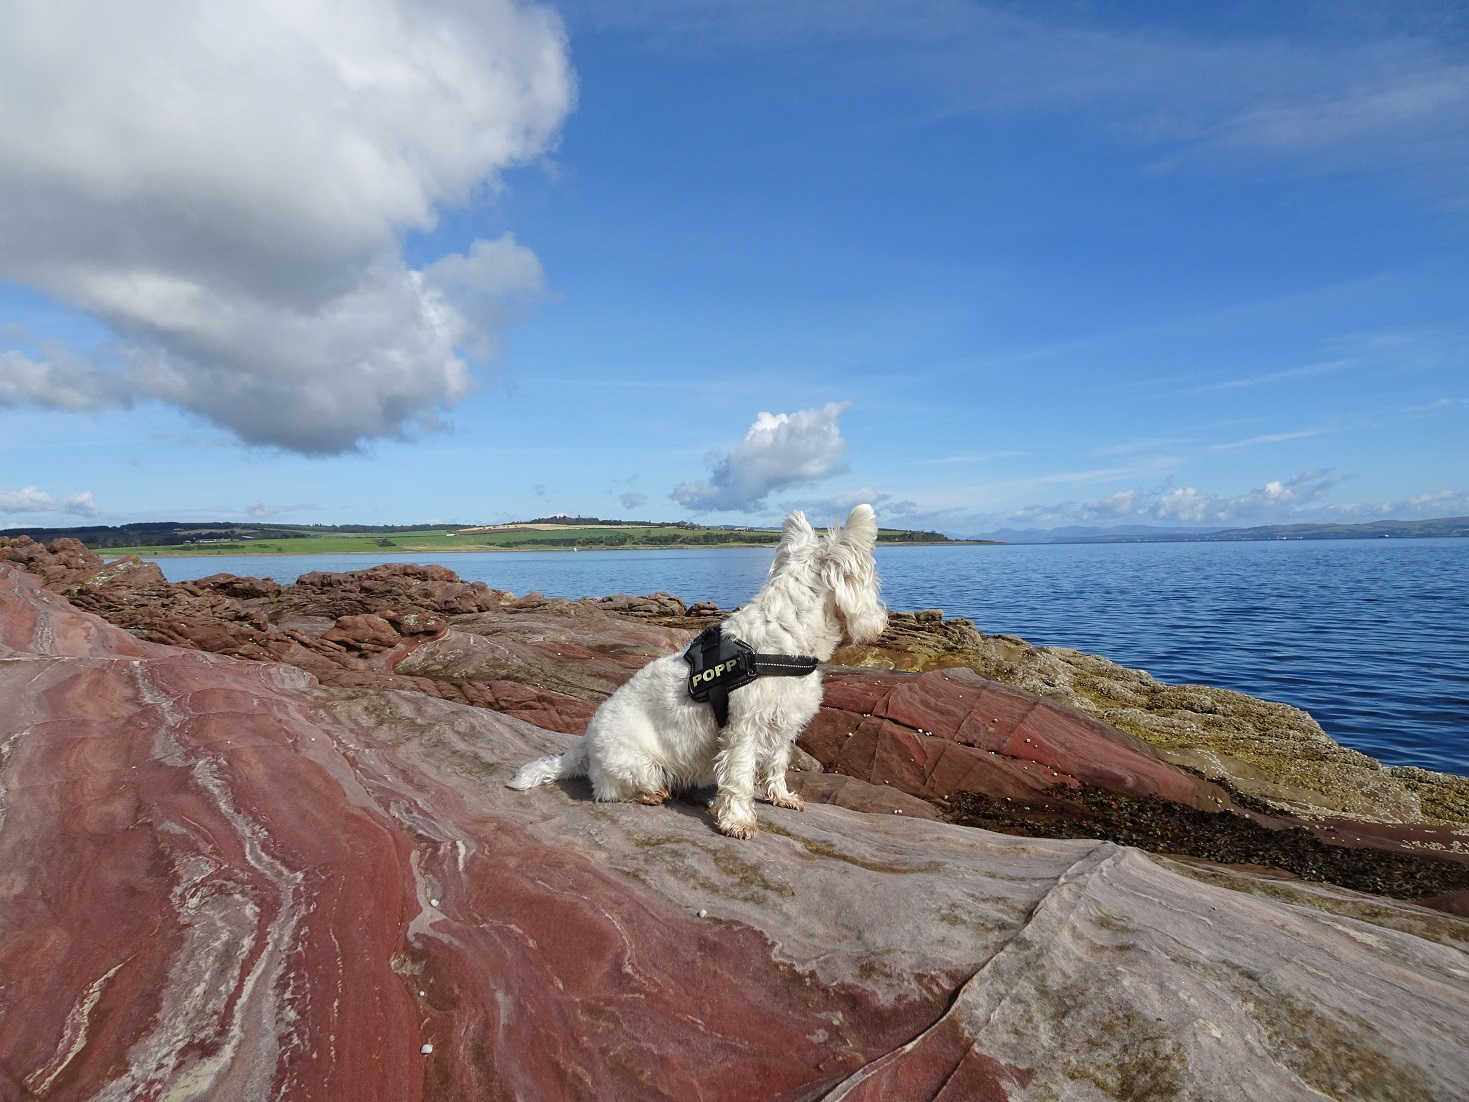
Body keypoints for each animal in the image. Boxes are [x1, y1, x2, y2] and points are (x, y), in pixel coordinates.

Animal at [511, 508, 887, 834]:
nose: (881, 621)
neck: (784, 639)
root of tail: (585, 744)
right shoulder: (743, 728)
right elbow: (739, 775)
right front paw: (738, 821)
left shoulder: (783, 725)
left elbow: (777, 763)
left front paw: (782, 797)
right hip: (640, 766)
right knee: (609, 791)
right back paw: (652, 794)